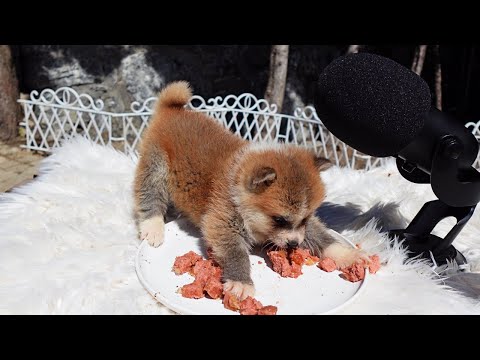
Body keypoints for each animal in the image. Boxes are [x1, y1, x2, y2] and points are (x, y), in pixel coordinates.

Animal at [133, 81, 366, 298]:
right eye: (278, 219)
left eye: (305, 218)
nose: (293, 244)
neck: (238, 188)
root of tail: (171, 109)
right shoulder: (222, 221)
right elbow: (236, 253)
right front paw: (241, 282)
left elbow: (319, 234)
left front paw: (344, 253)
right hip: (156, 165)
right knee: (149, 194)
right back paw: (153, 226)